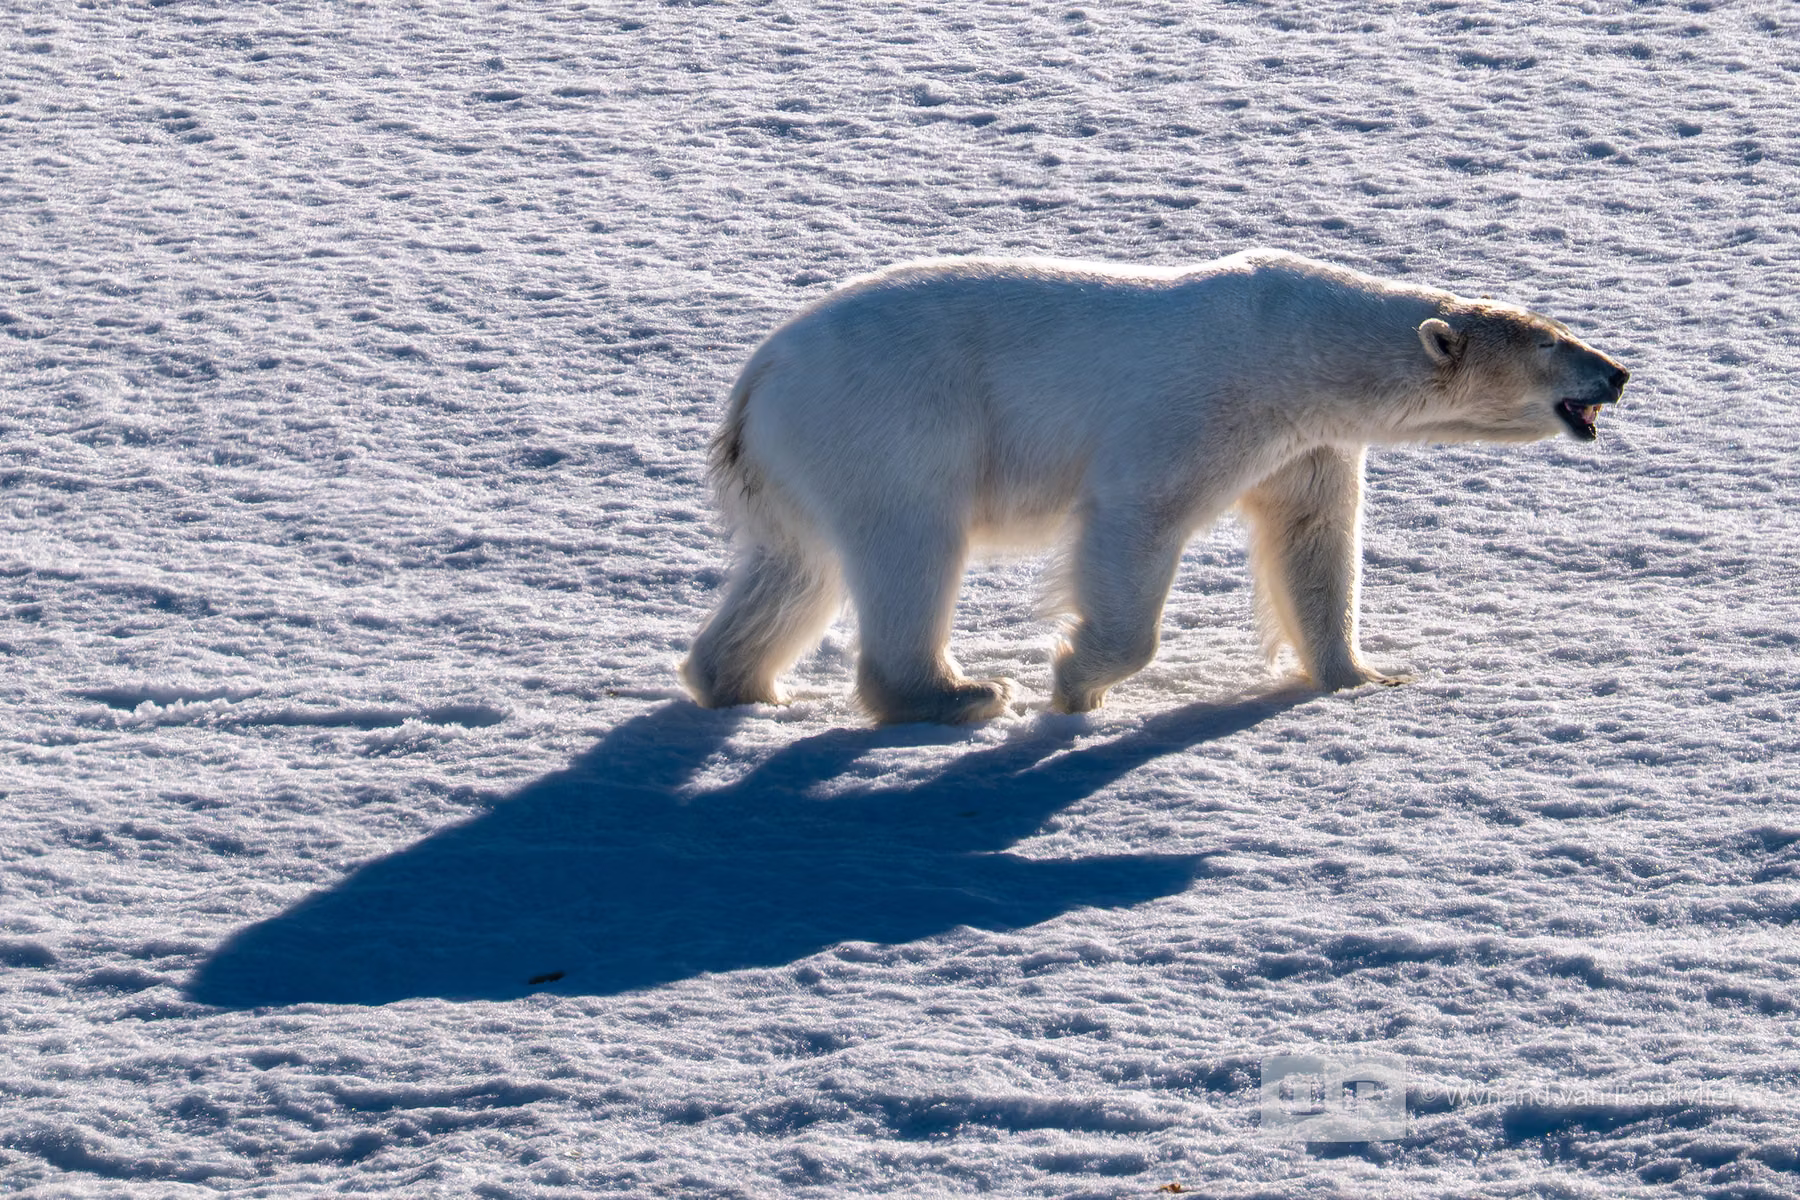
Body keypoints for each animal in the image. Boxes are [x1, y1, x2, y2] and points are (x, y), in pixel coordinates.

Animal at [680, 250, 1629, 724]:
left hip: (801, 462)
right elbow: (1138, 516)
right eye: (1552, 343)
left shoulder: (1307, 440)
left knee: (794, 571)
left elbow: (1312, 541)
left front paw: (1362, 677)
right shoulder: (1204, 403)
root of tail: (757, 379)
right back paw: (957, 694)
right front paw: (1077, 683)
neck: (1301, 346)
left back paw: (742, 683)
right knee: (909, 546)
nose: (1618, 373)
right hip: (891, 420)